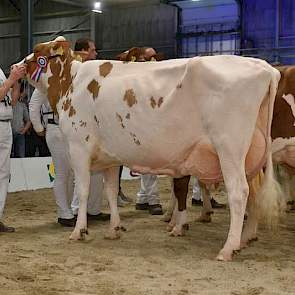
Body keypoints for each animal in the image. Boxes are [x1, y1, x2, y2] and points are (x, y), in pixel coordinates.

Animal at [21, 36, 282, 262]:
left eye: (37, 52)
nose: (18, 66)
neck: (72, 82)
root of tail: (264, 67)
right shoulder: (110, 157)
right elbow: (110, 192)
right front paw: (114, 229)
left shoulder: (79, 147)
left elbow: (83, 190)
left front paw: (79, 231)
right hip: (251, 157)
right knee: (254, 194)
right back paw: (244, 240)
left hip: (230, 149)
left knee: (239, 193)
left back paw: (228, 248)